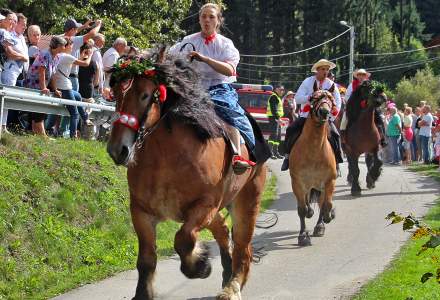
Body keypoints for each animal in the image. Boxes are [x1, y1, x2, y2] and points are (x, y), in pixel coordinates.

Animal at [105, 52, 268, 300]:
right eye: (116, 94)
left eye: (145, 95)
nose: (118, 149)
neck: (167, 156)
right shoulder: (141, 211)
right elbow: (146, 259)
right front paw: (143, 293)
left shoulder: (204, 206)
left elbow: (183, 240)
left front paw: (200, 265)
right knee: (222, 231)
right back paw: (227, 272)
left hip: (247, 201)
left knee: (243, 249)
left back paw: (232, 287)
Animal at [288, 84, 336, 246]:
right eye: (313, 98)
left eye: (331, 99)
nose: (324, 112)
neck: (314, 151)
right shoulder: (297, 182)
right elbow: (302, 209)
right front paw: (303, 235)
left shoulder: (329, 181)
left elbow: (326, 204)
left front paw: (328, 216)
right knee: (308, 201)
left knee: (321, 202)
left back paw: (320, 225)